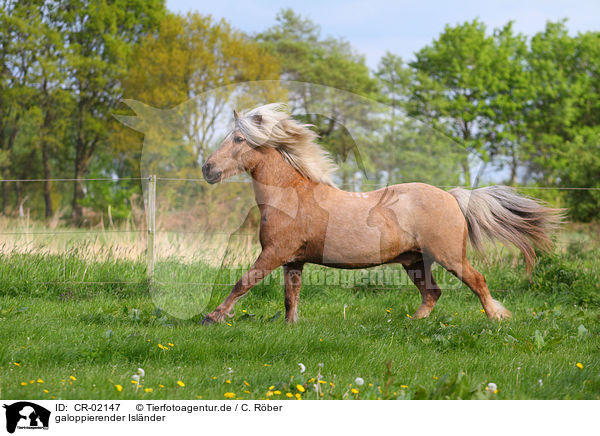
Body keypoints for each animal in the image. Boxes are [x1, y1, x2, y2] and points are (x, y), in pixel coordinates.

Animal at [202, 103, 564, 324]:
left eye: (238, 139)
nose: (208, 169)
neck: (291, 195)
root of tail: (451, 196)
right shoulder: (293, 259)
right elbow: (291, 296)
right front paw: (291, 327)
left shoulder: (275, 252)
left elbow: (243, 282)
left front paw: (213, 317)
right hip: (414, 260)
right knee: (432, 293)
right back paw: (410, 322)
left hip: (449, 256)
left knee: (477, 280)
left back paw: (496, 318)